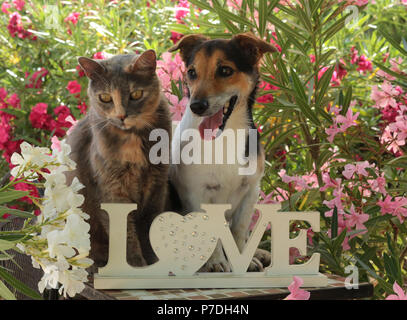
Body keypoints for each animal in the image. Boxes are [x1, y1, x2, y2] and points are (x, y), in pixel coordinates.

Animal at [66, 50, 171, 272]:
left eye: (136, 94)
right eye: (105, 97)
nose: (121, 115)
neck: (132, 138)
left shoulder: (157, 183)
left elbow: (149, 225)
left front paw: (154, 262)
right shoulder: (112, 189)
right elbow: (124, 233)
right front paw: (135, 266)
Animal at [169, 33, 278, 272]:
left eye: (225, 70)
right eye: (192, 72)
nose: (196, 106)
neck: (225, 135)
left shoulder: (251, 190)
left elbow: (238, 231)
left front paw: (243, 260)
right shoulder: (197, 193)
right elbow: (211, 233)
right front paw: (216, 262)